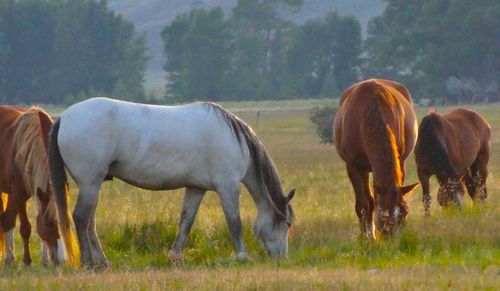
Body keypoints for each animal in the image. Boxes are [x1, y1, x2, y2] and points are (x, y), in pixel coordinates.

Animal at [0, 106, 63, 266]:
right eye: (48, 222)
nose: (61, 260)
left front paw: (44, 259)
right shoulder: (18, 194)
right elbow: (25, 228)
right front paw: (26, 260)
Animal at [48, 98, 294, 270]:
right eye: (287, 223)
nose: (282, 258)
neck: (235, 140)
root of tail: (64, 117)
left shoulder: (196, 189)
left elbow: (186, 222)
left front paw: (176, 257)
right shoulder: (228, 187)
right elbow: (234, 223)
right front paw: (242, 256)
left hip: (93, 184)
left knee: (90, 222)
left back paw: (102, 261)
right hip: (90, 183)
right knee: (81, 218)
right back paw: (88, 262)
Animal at [334, 79, 420, 240]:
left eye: (404, 213)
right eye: (384, 215)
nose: (393, 240)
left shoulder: (399, 162)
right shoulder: (353, 166)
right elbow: (363, 204)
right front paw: (366, 238)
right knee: (369, 201)